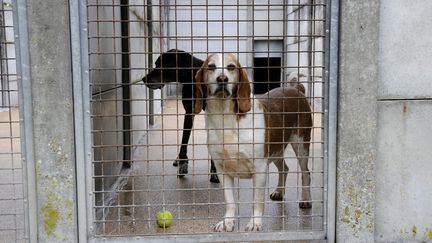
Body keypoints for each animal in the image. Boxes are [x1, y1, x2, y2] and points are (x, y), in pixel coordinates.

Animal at [143, 49, 219, 182]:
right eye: (156, 64)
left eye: (163, 65)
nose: (143, 79)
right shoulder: (189, 111)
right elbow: (184, 139)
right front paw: (183, 162)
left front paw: (215, 170)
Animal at [194, 54, 312, 233]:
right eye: (211, 67)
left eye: (231, 67)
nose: (222, 79)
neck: (225, 118)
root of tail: (296, 89)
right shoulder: (222, 170)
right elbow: (229, 200)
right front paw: (228, 222)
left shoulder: (260, 168)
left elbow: (257, 200)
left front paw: (255, 223)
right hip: (275, 149)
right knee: (284, 168)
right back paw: (279, 191)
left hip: (301, 145)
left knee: (306, 173)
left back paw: (305, 199)